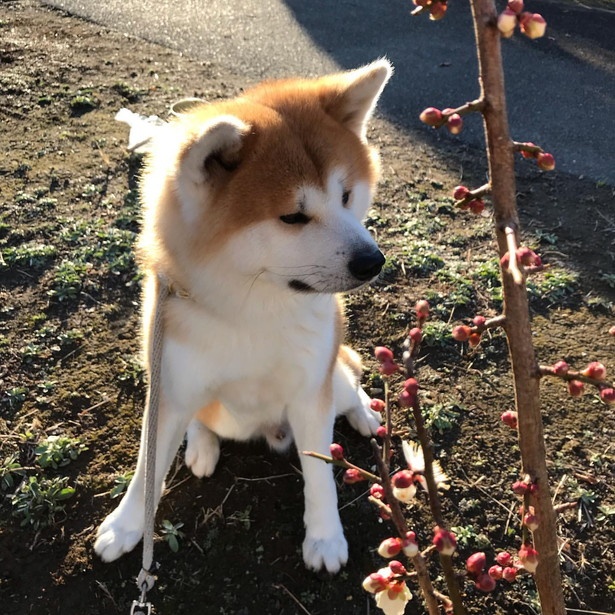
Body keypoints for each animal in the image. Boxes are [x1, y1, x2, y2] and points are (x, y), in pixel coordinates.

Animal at [95, 57, 394, 572]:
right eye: (293, 217)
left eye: (346, 196)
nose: (372, 262)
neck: (252, 312)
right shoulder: (170, 384)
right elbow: (146, 468)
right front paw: (126, 524)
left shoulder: (309, 392)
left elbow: (321, 474)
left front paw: (324, 538)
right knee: (201, 418)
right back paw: (200, 443)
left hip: (331, 375)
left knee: (348, 385)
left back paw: (365, 414)